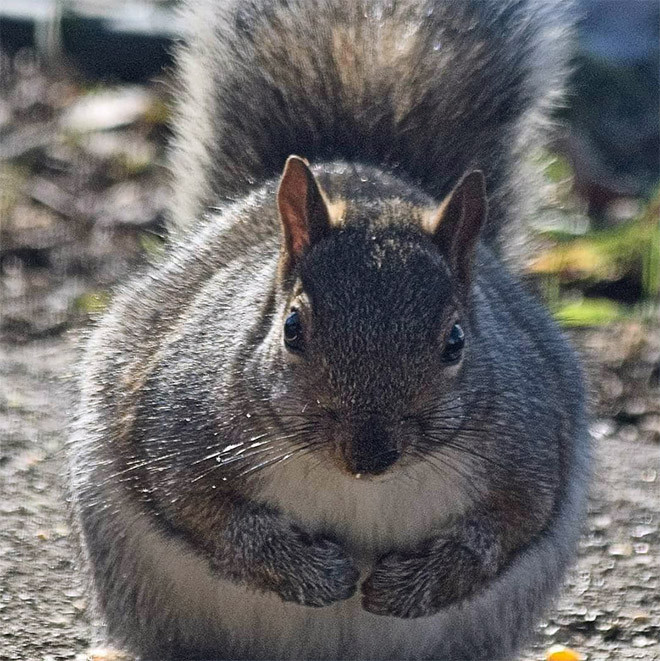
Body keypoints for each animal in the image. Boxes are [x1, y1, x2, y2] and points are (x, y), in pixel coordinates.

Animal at [69, 1, 592, 660]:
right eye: (292, 328)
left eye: (456, 342)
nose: (369, 454)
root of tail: (356, 164)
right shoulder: (171, 430)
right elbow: (207, 514)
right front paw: (315, 573)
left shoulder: (530, 451)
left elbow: (504, 530)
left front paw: (413, 585)